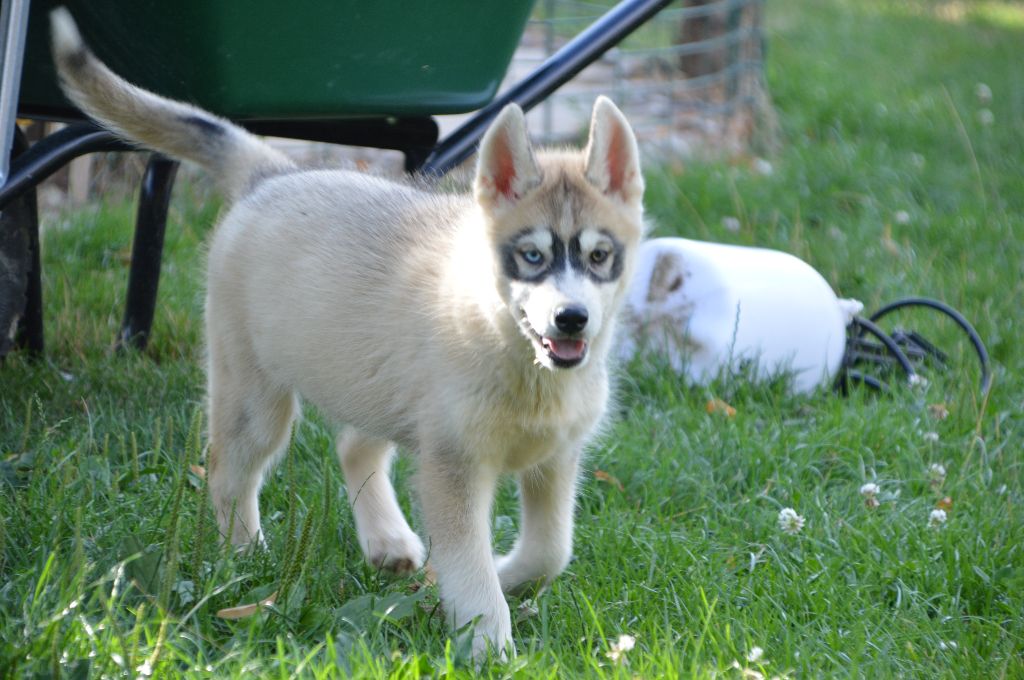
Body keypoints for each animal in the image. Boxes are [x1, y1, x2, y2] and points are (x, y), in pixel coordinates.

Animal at [51, 8, 645, 658]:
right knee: (230, 472)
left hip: (375, 383)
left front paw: (502, 576)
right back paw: (246, 560)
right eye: (532, 256)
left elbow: (550, 552)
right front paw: (488, 638)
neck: (517, 357)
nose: (571, 319)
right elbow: (471, 567)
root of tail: (275, 174)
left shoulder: (556, 460)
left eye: (599, 256)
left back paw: (387, 543)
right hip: (256, 397)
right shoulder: (454, 467)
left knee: (352, 445)